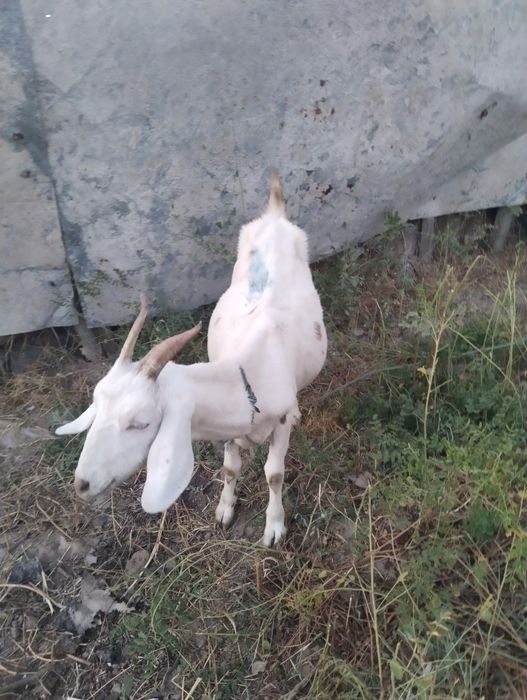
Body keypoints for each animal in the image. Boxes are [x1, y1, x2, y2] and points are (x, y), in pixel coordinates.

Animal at [56, 175, 327, 545]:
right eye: (96, 408)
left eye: (140, 423)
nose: (82, 484)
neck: (246, 376)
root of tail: (273, 212)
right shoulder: (231, 428)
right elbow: (230, 467)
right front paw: (225, 508)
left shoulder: (281, 420)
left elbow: (274, 472)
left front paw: (273, 526)